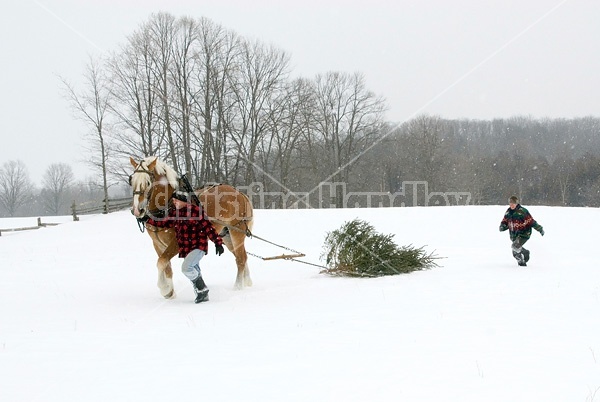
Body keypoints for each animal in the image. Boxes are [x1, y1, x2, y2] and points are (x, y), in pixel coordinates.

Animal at [129, 157, 253, 298]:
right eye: (131, 180)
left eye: (148, 182)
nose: (137, 210)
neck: (169, 206)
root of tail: (240, 193)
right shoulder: (157, 244)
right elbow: (166, 267)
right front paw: (171, 292)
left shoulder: (177, 243)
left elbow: (161, 262)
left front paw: (164, 288)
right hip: (226, 236)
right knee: (242, 255)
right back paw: (247, 282)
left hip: (236, 232)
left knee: (241, 259)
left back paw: (237, 287)